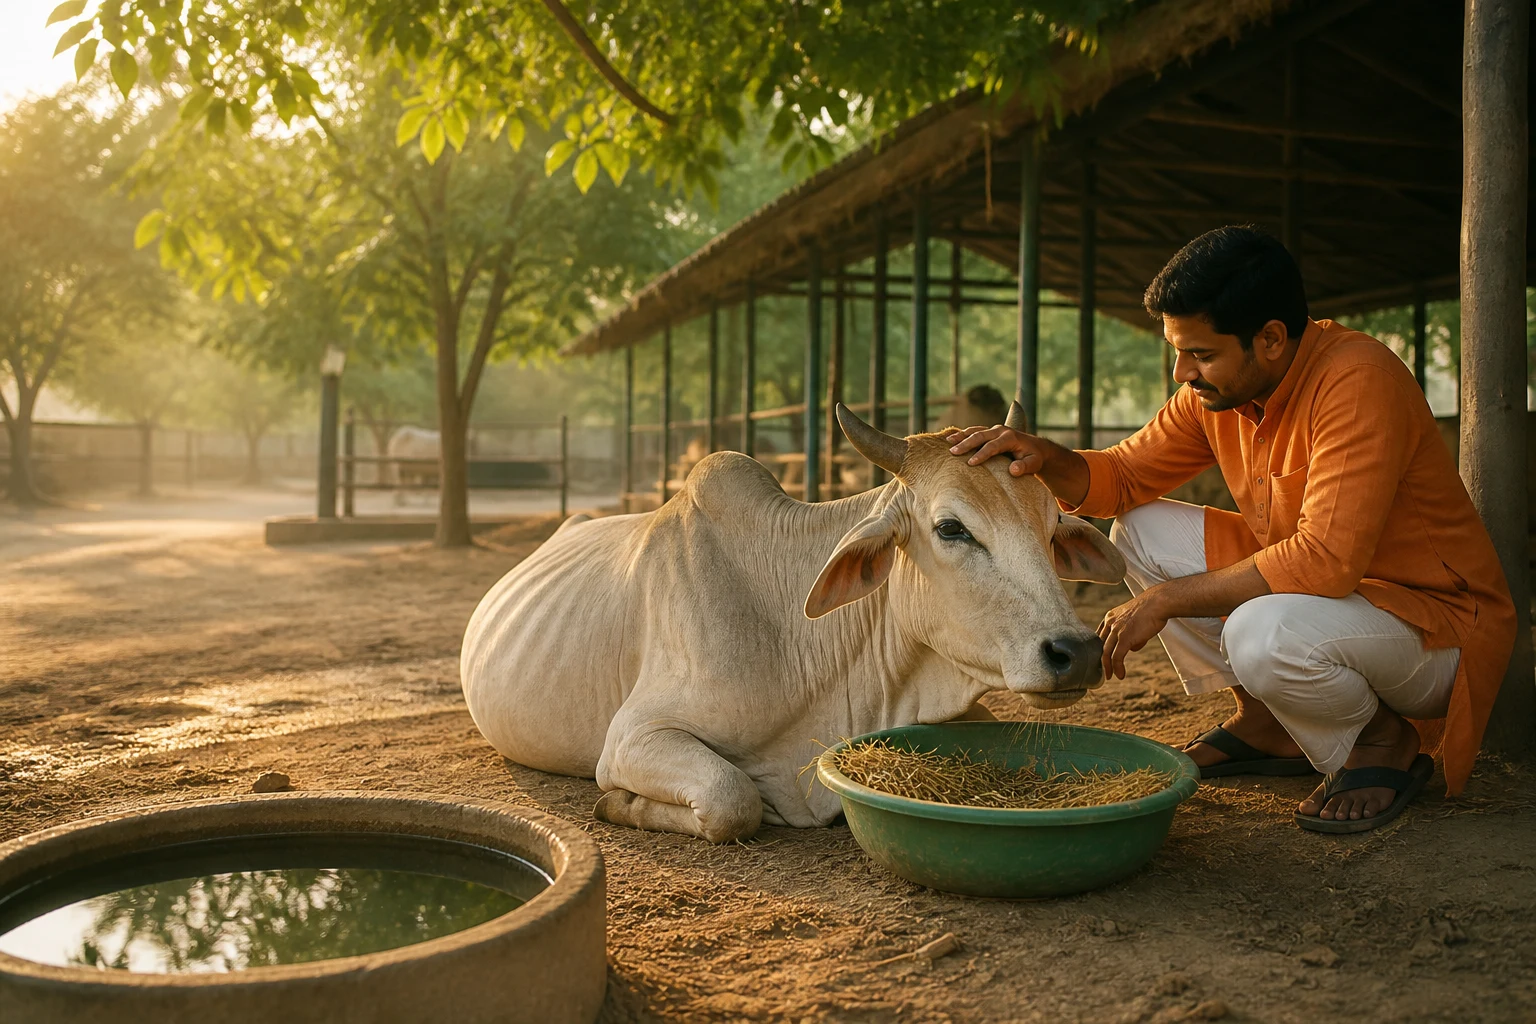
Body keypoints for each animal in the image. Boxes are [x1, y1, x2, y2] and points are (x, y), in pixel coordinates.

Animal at [460, 403, 1125, 843]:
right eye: (950, 527)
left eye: (1051, 524)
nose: (1077, 652)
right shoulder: (631, 736)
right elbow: (733, 800)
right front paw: (615, 805)